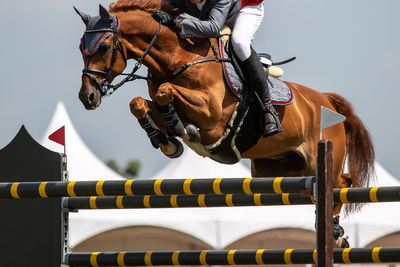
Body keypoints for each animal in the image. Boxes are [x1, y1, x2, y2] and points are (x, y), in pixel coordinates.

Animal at [74, 0, 376, 248]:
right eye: (81, 48)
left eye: (103, 46)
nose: (87, 97)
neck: (179, 57)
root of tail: (326, 99)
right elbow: (139, 103)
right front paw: (167, 140)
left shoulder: (211, 114)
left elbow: (165, 92)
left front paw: (183, 131)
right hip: (278, 169)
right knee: (332, 184)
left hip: (318, 159)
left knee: (341, 182)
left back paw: (334, 233)